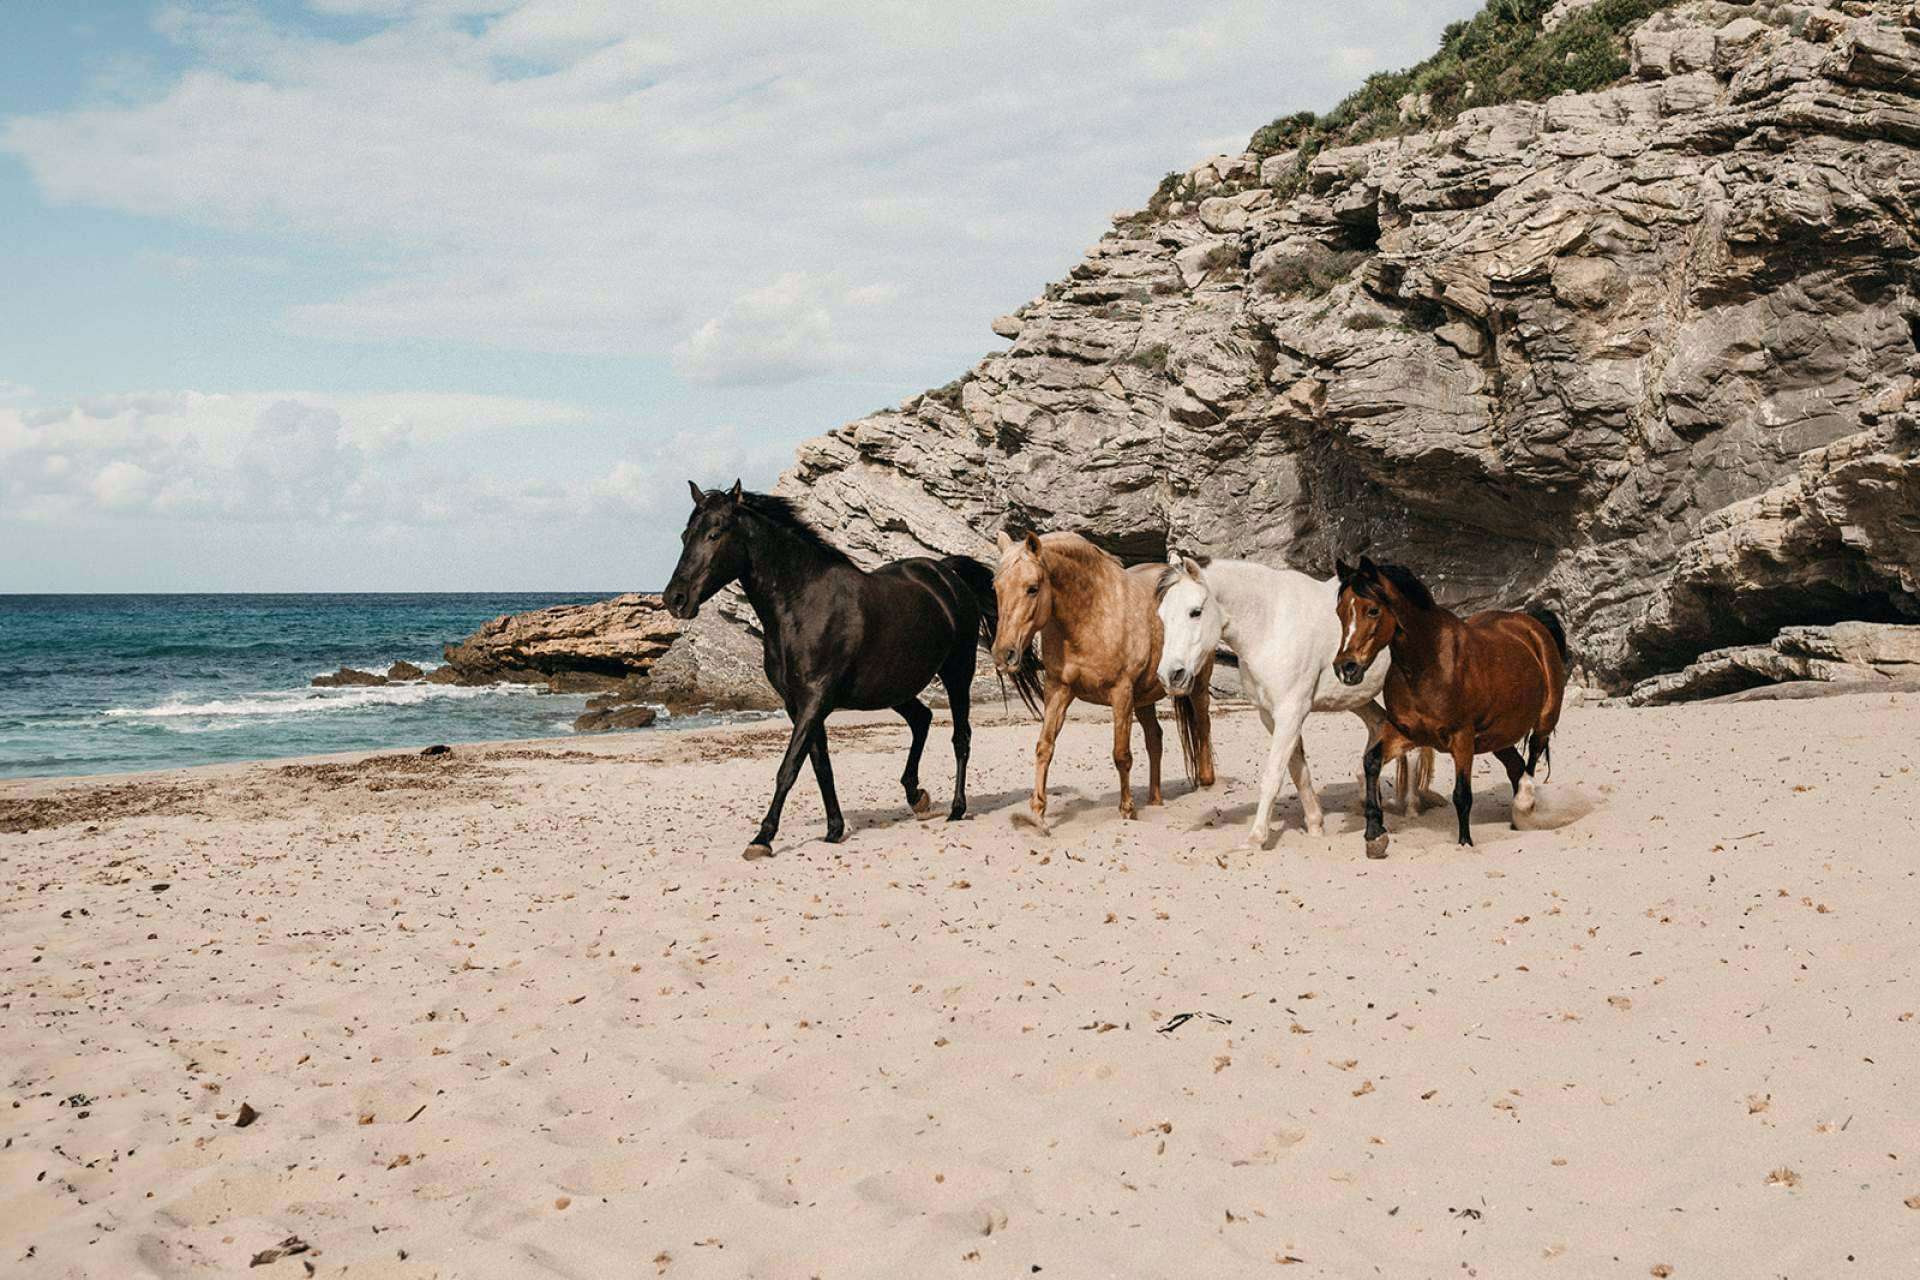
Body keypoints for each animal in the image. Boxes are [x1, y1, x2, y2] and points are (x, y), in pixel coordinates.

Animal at [662, 481, 1042, 860]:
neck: (803, 605)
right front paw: (834, 829)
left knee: (960, 737)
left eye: (714, 534)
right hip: (894, 687)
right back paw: (916, 796)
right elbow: (820, 766)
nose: (674, 599)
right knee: (922, 719)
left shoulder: (815, 699)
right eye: (683, 535)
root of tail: (946, 573)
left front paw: (763, 838)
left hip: (957, 674)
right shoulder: (798, 705)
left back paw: (956, 808)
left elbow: (789, 767)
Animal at [990, 530, 1214, 829]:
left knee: (1202, 725)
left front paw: (1127, 809)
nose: (1004, 654)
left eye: (1032, 588)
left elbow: (1121, 754)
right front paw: (1037, 813)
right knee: (1155, 738)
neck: (1090, 615)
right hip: (1144, 699)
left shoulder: (1121, 693)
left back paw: (1207, 782)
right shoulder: (1058, 690)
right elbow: (1044, 747)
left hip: (1196, 685)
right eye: (996, 587)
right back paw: (1155, 800)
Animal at [1155, 555, 1438, 848]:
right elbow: (1297, 770)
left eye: (1195, 612)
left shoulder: (1290, 713)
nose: (1170, 675)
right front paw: (1315, 826)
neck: (1269, 625)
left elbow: (1273, 774)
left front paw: (1256, 838)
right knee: (1379, 726)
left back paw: (1410, 808)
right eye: (1162, 615)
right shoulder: (1271, 716)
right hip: (1357, 699)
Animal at [1332, 556, 1569, 860]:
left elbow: (1462, 794)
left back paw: (1525, 806)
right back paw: (1518, 816)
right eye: (1340, 612)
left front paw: (1464, 842)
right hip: (1498, 737)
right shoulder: (1406, 732)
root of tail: (1532, 624)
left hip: (1543, 720)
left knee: (1530, 762)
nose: (1346, 668)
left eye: (1372, 610)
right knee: (1516, 768)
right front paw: (1374, 834)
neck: (1428, 663)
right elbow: (1371, 761)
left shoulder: (1462, 737)